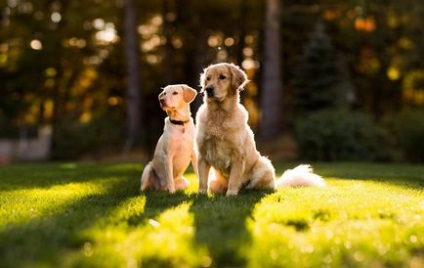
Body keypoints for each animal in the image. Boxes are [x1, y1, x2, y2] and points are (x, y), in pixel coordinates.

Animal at [195, 62, 324, 197]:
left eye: (222, 77)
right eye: (208, 78)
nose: (208, 89)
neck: (219, 114)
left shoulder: (238, 156)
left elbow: (234, 178)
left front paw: (231, 195)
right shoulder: (202, 154)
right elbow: (202, 180)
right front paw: (201, 195)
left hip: (264, 164)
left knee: (256, 187)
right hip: (214, 182)